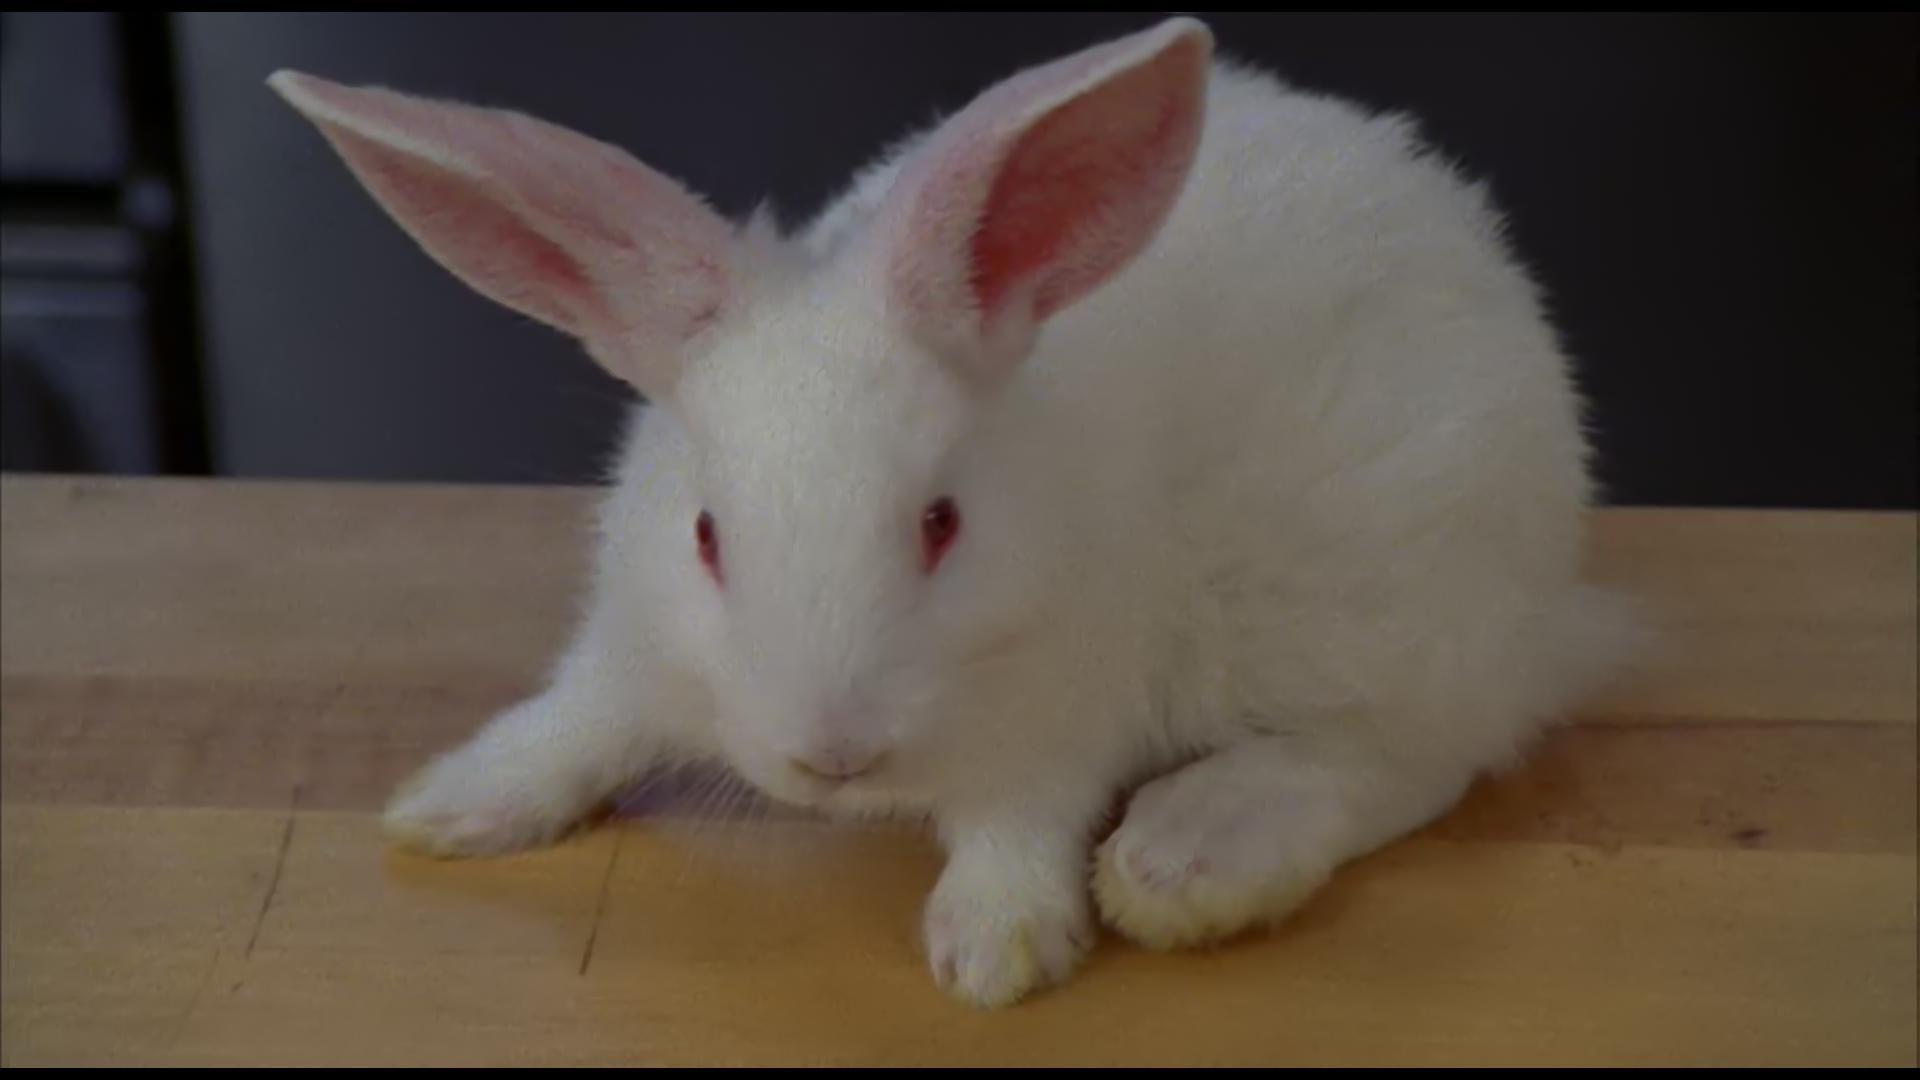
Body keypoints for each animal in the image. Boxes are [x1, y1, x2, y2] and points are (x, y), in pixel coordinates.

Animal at [278, 16, 1643, 1006]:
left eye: (941, 525)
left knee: (1411, 755)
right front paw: (450, 803)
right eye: (709, 537)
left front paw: (994, 952)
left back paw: (1191, 855)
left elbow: (1016, 824)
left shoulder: (1065, 713)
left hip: (1394, 604)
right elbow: (576, 723)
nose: (831, 755)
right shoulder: (631, 648)